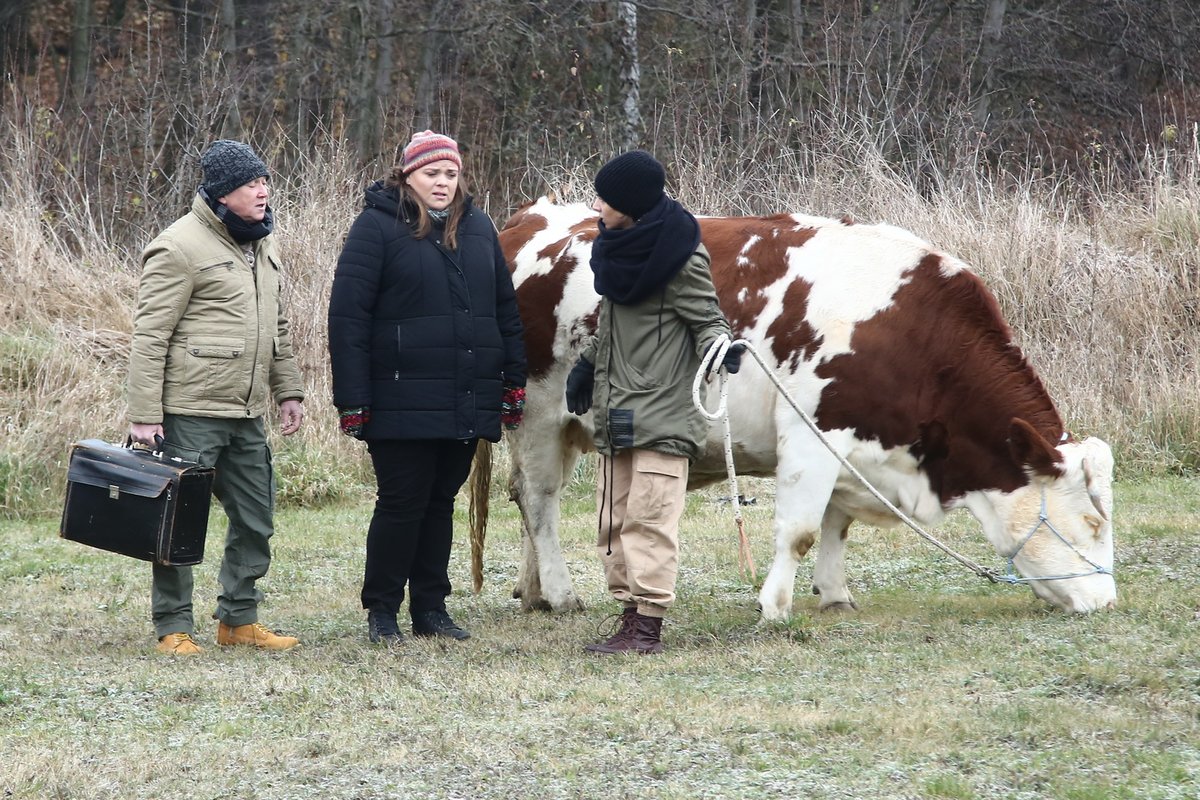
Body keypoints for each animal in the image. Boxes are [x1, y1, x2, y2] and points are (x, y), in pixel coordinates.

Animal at [472, 195, 1118, 618]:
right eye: (1092, 522)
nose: (1107, 601)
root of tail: (531, 217)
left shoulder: (852, 446)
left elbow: (837, 524)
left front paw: (834, 595)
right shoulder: (813, 434)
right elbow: (801, 529)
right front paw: (775, 607)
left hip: (568, 429)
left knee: (531, 501)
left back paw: (532, 591)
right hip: (536, 413)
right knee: (539, 501)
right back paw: (560, 593)